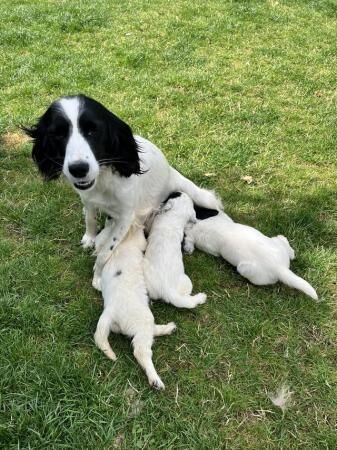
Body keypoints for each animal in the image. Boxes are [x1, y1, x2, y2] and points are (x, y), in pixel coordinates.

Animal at [25, 94, 222, 253]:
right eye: (58, 134)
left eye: (92, 130)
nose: (79, 169)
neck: (103, 180)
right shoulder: (88, 200)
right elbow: (90, 219)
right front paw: (89, 237)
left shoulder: (126, 216)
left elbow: (111, 243)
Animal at [93, 225, 175, 390]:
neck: (125, 242)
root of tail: (110, 312)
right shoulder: (139, 242)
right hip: (143, 321)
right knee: (141, 351)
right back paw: (155, 380)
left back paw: (168, 328)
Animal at [182, 213, 316, 300]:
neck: (199, 226)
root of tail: (280, 268)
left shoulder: (210, 247)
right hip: (276, 243)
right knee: (283, 242)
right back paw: (289, 249)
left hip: (244, 270)